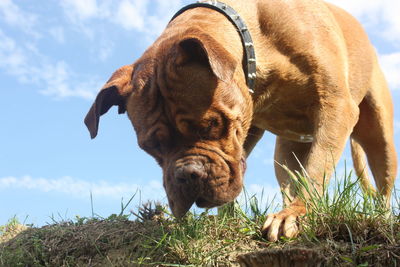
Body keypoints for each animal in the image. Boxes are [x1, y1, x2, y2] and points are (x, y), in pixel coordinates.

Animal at [84, 0, 396, 243]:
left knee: (382, 184)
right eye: (151, 146)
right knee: (289, 178)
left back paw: (380, 217)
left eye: (212, 125)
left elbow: (316, 170)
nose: (187, 174)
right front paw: (227, 218)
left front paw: (298, 213)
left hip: (379, 138)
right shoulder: (247, 129)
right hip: (286, 153)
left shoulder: (335, 107)